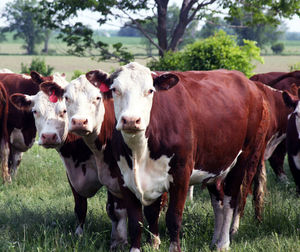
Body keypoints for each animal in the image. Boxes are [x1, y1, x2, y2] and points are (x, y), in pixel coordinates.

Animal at [38, 75, 165, 250]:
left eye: (97, 98)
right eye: (67, 98)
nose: (79, 121)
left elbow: (138, 210)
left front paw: (146, 242)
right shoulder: (77, 177)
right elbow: (85, 207)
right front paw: (83, 236)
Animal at [82, 61, 272, 252]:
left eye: (150, 90)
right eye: (115, 89)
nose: (130, 120)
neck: (139, 153)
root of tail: (248, 82)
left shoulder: (181, 174)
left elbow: (173, 217)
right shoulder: (125, 178)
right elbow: (136, 221)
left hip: (242, 160)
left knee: (230, 202)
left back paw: (223, 243)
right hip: (215, 165)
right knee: (218, 203)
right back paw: (215, 241)